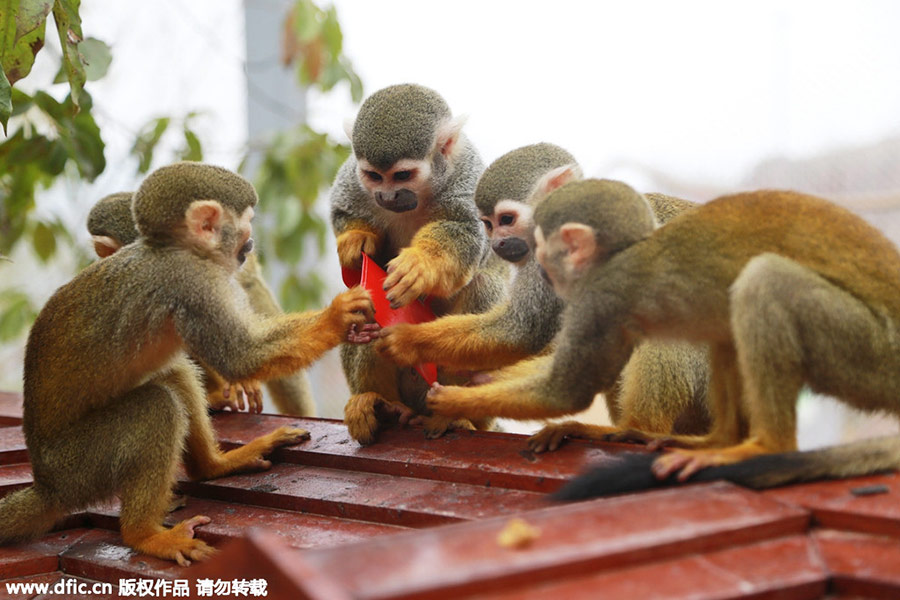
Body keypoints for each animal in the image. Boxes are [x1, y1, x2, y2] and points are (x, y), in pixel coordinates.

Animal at [328, 82, 506, 442]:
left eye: (402, 175)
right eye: (374, 176)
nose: (387, 196)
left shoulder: (465, 182)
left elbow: (464, 235)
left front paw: (420, 266)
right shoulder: (353, 178)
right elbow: (345, 215)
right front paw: (355, 241)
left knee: (484, 287)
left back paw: (454, 414)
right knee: (365, 304)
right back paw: (382, 404)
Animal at [388, 145, 712, 442]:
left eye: (506, 220)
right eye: (488, 225)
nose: (497, 244)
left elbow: (522, 331)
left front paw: (408, 341)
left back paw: (638, 429)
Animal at [474, 180, 900, 500]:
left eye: (507, 223)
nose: (543, 270)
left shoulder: (608, 292)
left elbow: (566, 386)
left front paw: (458, 398)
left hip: (870, 352)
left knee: (758, 285)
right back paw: (714, 441)